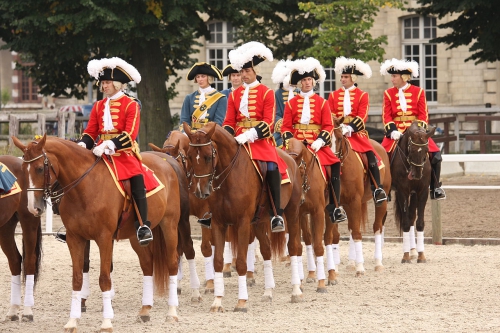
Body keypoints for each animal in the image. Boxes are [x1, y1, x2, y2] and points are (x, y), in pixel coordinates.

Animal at [0, 156, 42, 322]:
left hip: (29, 219)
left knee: (29, 260)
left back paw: (27, 311)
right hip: (6, 226)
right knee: (15, 260)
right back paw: (13, 310)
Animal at [13, 134, 182, 330]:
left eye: (40, 169)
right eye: (23, 170)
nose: (33, 208)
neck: (86, 187)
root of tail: (166, 162)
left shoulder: (104, 238)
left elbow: (104, 278)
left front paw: (106, 322)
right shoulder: (75, 238)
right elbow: (77, 278)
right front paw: (73, 320)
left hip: (169, 224)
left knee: (172, 263)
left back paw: (172, 312)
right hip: (135, 235)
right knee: (147, 265)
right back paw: (145, 310)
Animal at [183, 122, 302, 312]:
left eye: (208, 157)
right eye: (189, 157)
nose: (201, 192)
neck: (228, 176)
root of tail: (289, 159)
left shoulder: (243, 223)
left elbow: (240, 262)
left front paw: (241, 302)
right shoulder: (218, 223)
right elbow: (218, 261)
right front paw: (217, 301)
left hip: (292, 212)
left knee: (294, 247)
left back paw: (296, 291)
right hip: (259, 221)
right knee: (266, 250)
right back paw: (268, 292)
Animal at [326, 117, 392, 280]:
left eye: (340, 138)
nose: (333, 163)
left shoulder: (354, 201)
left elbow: (357, 233)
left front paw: (360, 268)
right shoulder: (336, 207)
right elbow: (336, 235)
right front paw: (335, 269)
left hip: (380, 201)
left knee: (377, 227)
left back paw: (378, 263)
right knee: (351, 228)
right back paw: (351, 263)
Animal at [390, 120, 434, 264]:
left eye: (426, 150)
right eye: (412, 149)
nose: (416, 175)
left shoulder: (422, 192)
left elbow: (419, 222)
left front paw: (421, 255)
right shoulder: (402, 192)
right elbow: (405, 222)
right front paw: (405, 256)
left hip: (414, 194)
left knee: (411, 217)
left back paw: (413, 250)